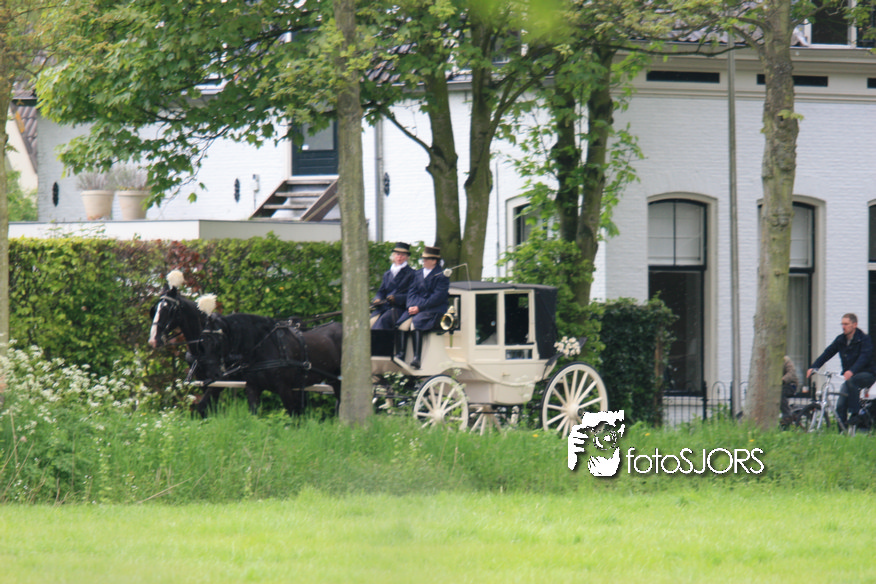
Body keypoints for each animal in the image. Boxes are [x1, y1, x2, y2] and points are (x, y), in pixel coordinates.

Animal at [194, 309, 343, 418]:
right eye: (202, 342)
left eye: (217, 342)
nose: (211, 373)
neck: (264, 347)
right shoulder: (252, 387)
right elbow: (254, 415)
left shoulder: (284, 388)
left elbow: (294, 416)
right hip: (335, 381)